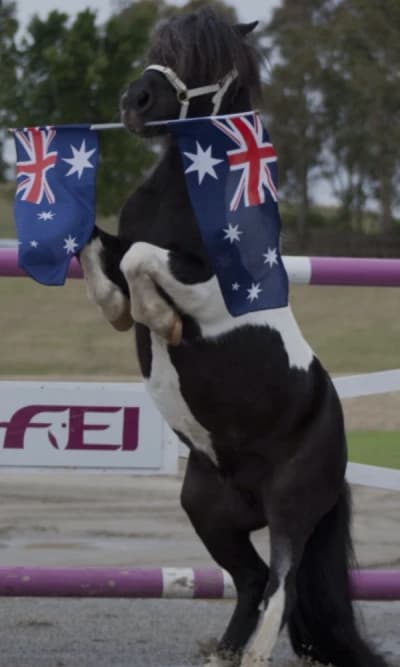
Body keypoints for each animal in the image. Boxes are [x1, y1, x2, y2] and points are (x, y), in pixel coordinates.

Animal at [79, 8, 389, 667]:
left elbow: (142, 259)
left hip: (291, 504)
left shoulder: (215, 291)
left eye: (206, 59)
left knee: (281, 584)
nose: (136, 101)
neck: (189, 194)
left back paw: (249, 654)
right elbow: (95, 243)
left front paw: (158, 318)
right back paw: (221, 651)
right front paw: (120, 309)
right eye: (159, 43)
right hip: (208, 510)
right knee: (250, 579)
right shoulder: (119, 242)